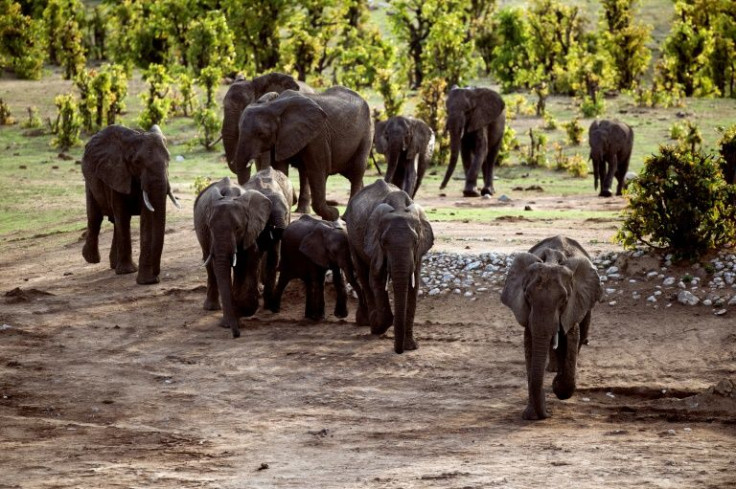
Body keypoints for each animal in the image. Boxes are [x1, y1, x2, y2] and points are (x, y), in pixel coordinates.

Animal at [81, 124, 180, 284]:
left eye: (169, 159)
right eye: (137, 162)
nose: (157, 275)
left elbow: (147, 218)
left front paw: (147, 281)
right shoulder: (116, 173)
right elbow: (122, 215)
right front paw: (128, 272)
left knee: (114, 222)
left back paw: (114, 264)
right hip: (90, 182)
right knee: (95, 217)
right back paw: (92, 259)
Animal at [193, 175, 274, 340]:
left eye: (237, 228)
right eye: (209, 227)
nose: (236, 335)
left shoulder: (250, 230)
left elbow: (247, 262)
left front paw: (242, 310)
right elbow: (219, 267)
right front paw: (230, 322)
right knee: (209, 264)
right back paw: (211, 308)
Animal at [233, 86, 374, 221]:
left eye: (261, 134)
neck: (274, 105)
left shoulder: (318, 135)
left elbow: (317, 170)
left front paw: (333, 214)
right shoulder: (282, 137)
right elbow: (280, 167)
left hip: (367, 131)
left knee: (357, 169)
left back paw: (345, 217)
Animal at [344, 178, 434, 350]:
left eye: (415, 242)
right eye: (383, 242)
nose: (398, 351)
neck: (399, 207)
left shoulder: (417, 253)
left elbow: (413, 285)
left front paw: (410, 347)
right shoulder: (375, 245)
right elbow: (376, 278)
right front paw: (377, 325)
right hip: (351, 237)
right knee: (363, 275)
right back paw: (369, 322)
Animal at [500, 235, 604, 420]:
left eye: (564, 299)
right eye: (527, 296)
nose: (546, 414)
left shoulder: (574, 302)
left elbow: (572, 335)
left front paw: (558, 385)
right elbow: (530, 343)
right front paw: (531, 415)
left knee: (582, 331)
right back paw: (553, 369)